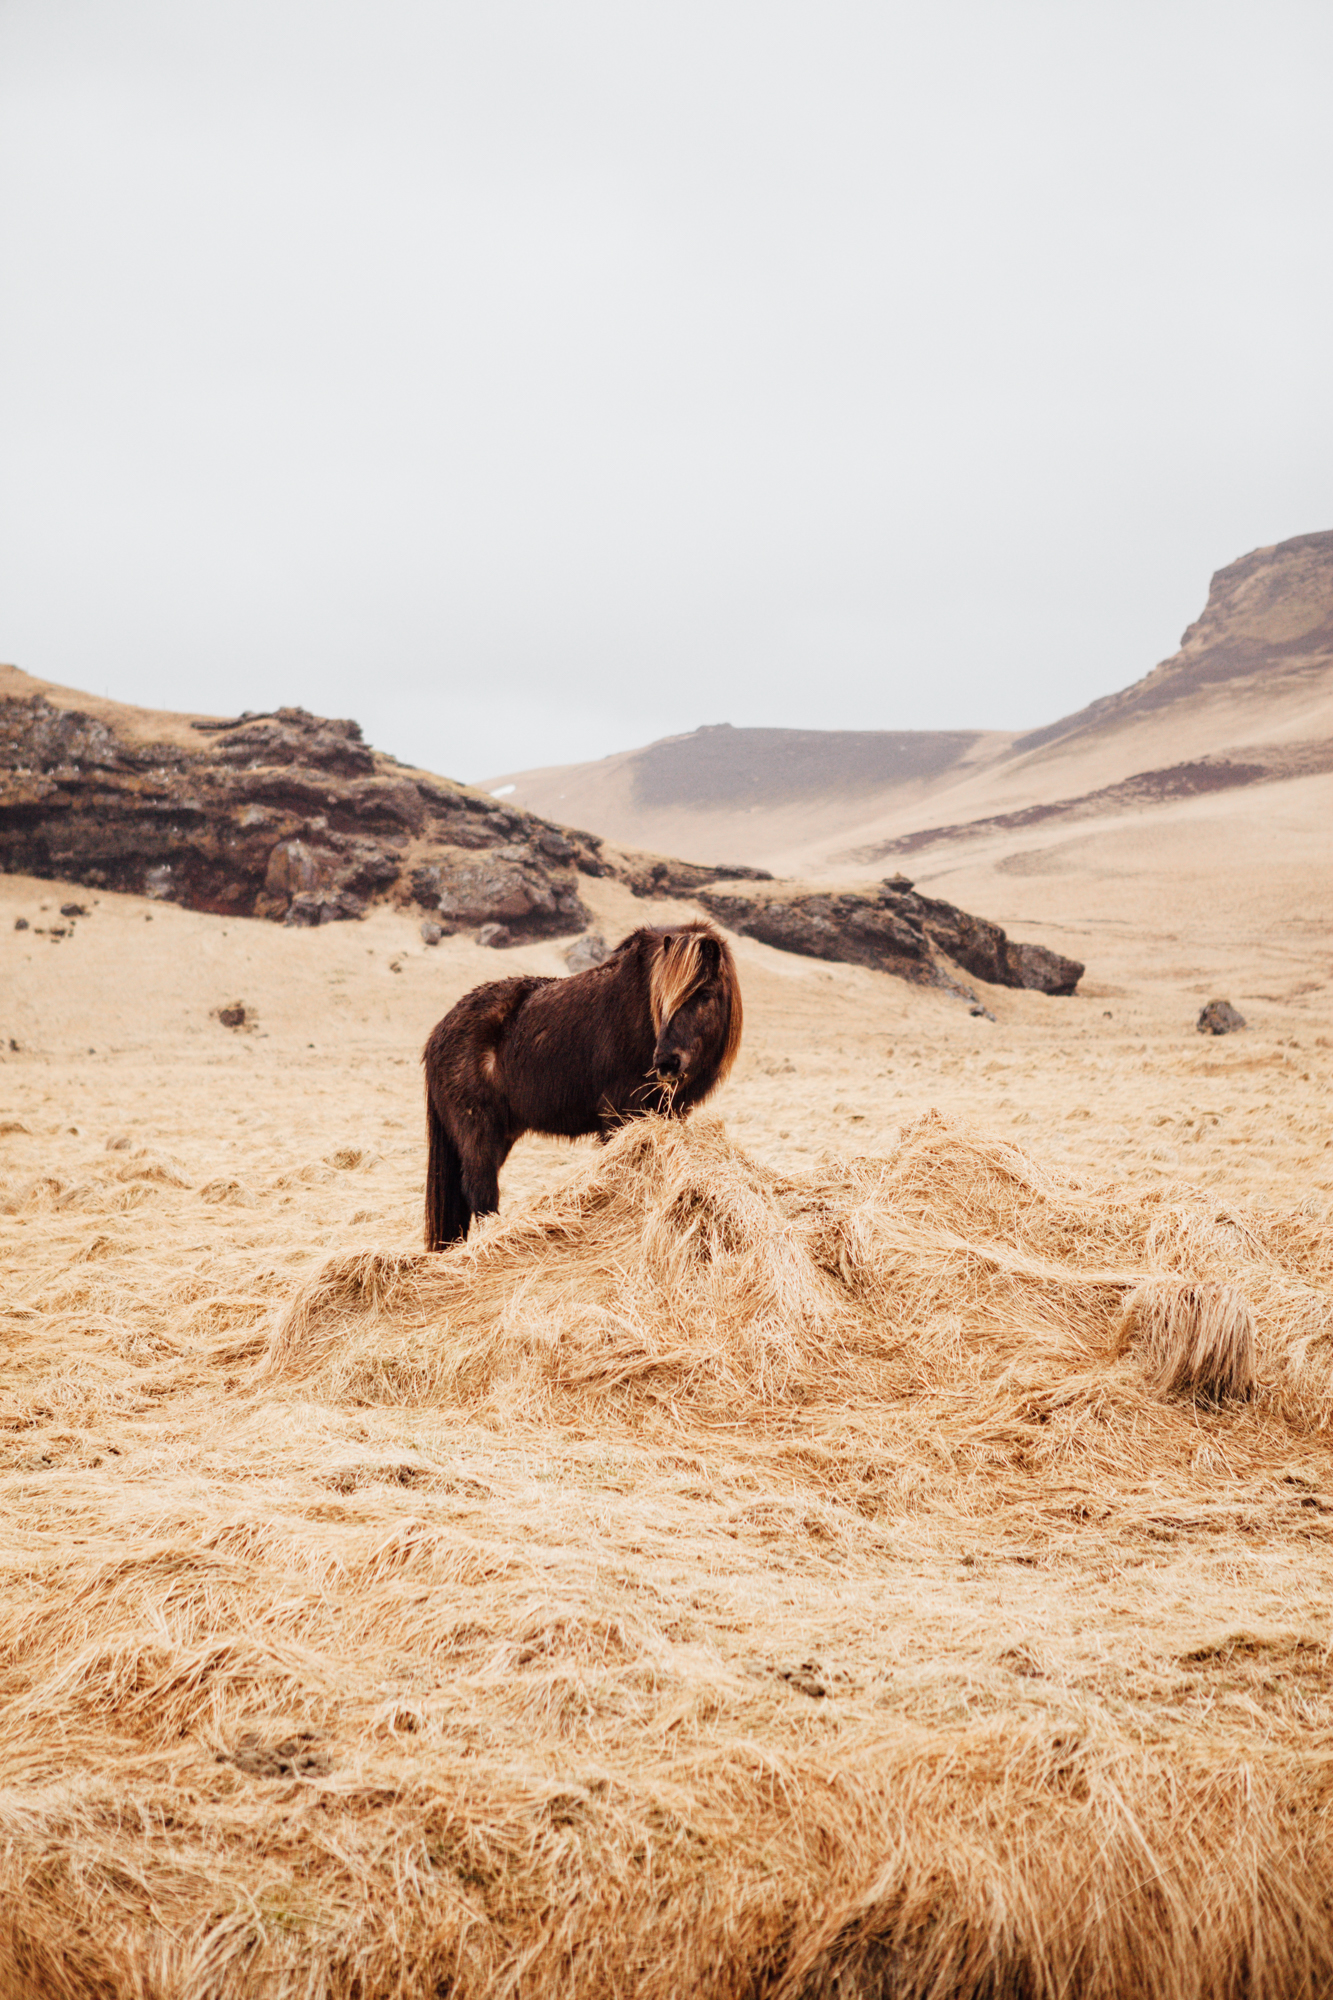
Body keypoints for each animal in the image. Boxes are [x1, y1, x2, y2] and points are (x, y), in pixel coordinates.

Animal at [420, 924, 740, 1240]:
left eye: (705, 995)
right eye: (659, 998)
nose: (666, 1063)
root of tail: (437, 1035)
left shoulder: (669, 1114)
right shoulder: (618, 1117)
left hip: (500, 1134)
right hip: (479, 1132)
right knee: (480, 1192)